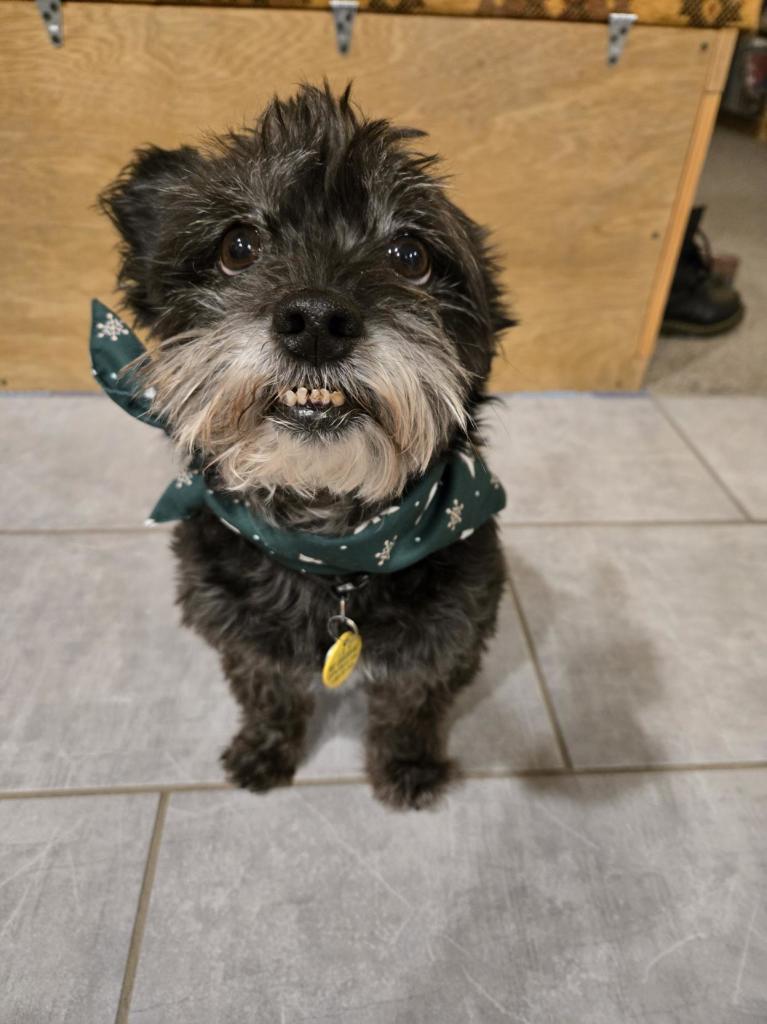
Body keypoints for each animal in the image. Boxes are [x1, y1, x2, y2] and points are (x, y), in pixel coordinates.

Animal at [100, 83, 507, 811]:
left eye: (411, 255)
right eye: (238, 245)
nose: (316, 320)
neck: (330, 551)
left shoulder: (451, 630)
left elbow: (411, 704)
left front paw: (407, 765)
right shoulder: (238, 631)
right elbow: (268, 693)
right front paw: (264, 752)